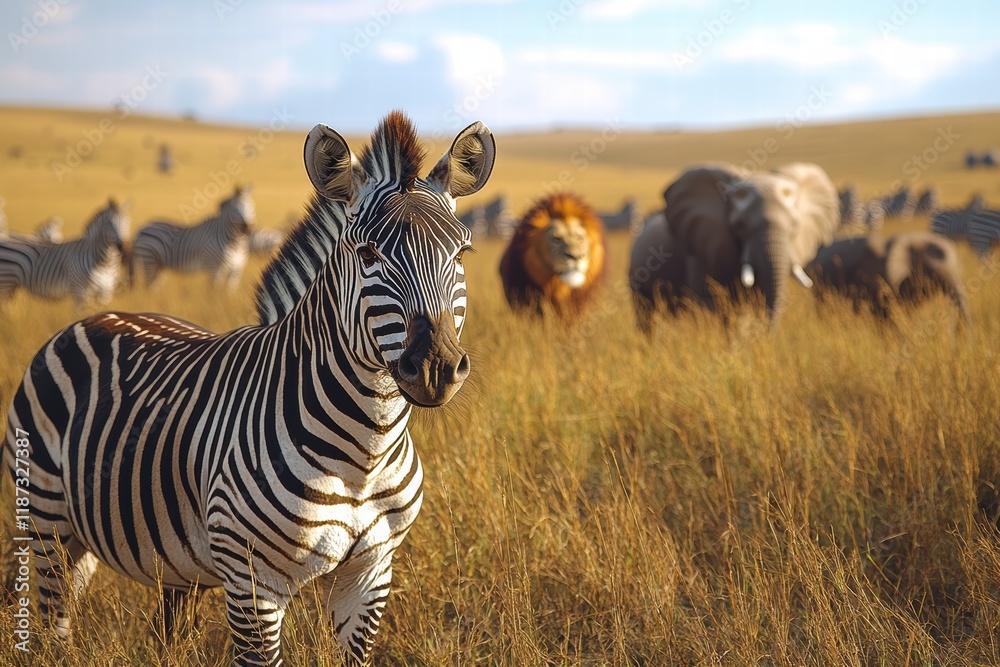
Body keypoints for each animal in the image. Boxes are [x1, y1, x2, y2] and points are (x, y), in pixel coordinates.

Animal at [0, 200, 129, 306]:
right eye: (109, 223)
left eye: (126, 222)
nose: (122, 247)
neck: (106, 263)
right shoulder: (79, 292)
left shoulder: (106, 293)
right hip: (4, 284)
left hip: (12, 287)